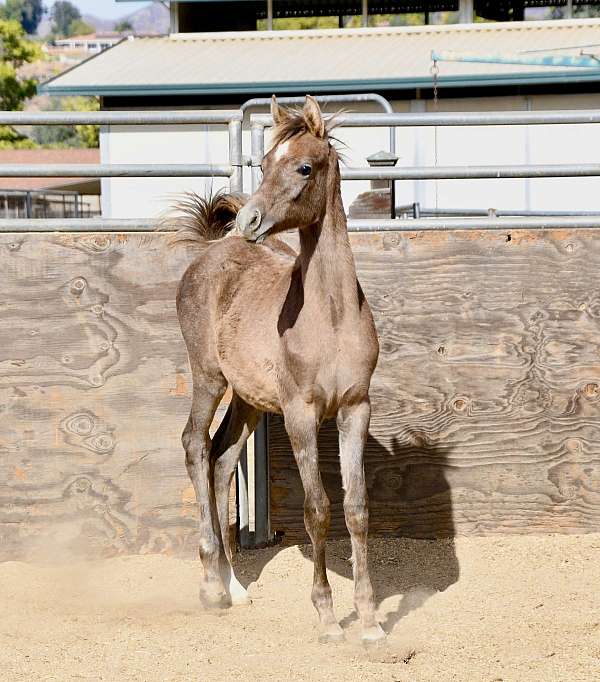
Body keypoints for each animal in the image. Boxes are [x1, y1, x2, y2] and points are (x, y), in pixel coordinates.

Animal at [173, 95, 384, 644]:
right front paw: (329, 619)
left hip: (247, 399)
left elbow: (357, 508)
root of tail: (211, 251)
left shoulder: (356, 409)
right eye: (264, 163)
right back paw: (211, 586)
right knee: (195, 445)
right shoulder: (300, 414)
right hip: (208, 378)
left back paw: (233, 586)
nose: (249, 220)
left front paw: (370, 621)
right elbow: (318, 511)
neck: (331, 316)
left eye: (304, 167)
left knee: (222, 460)